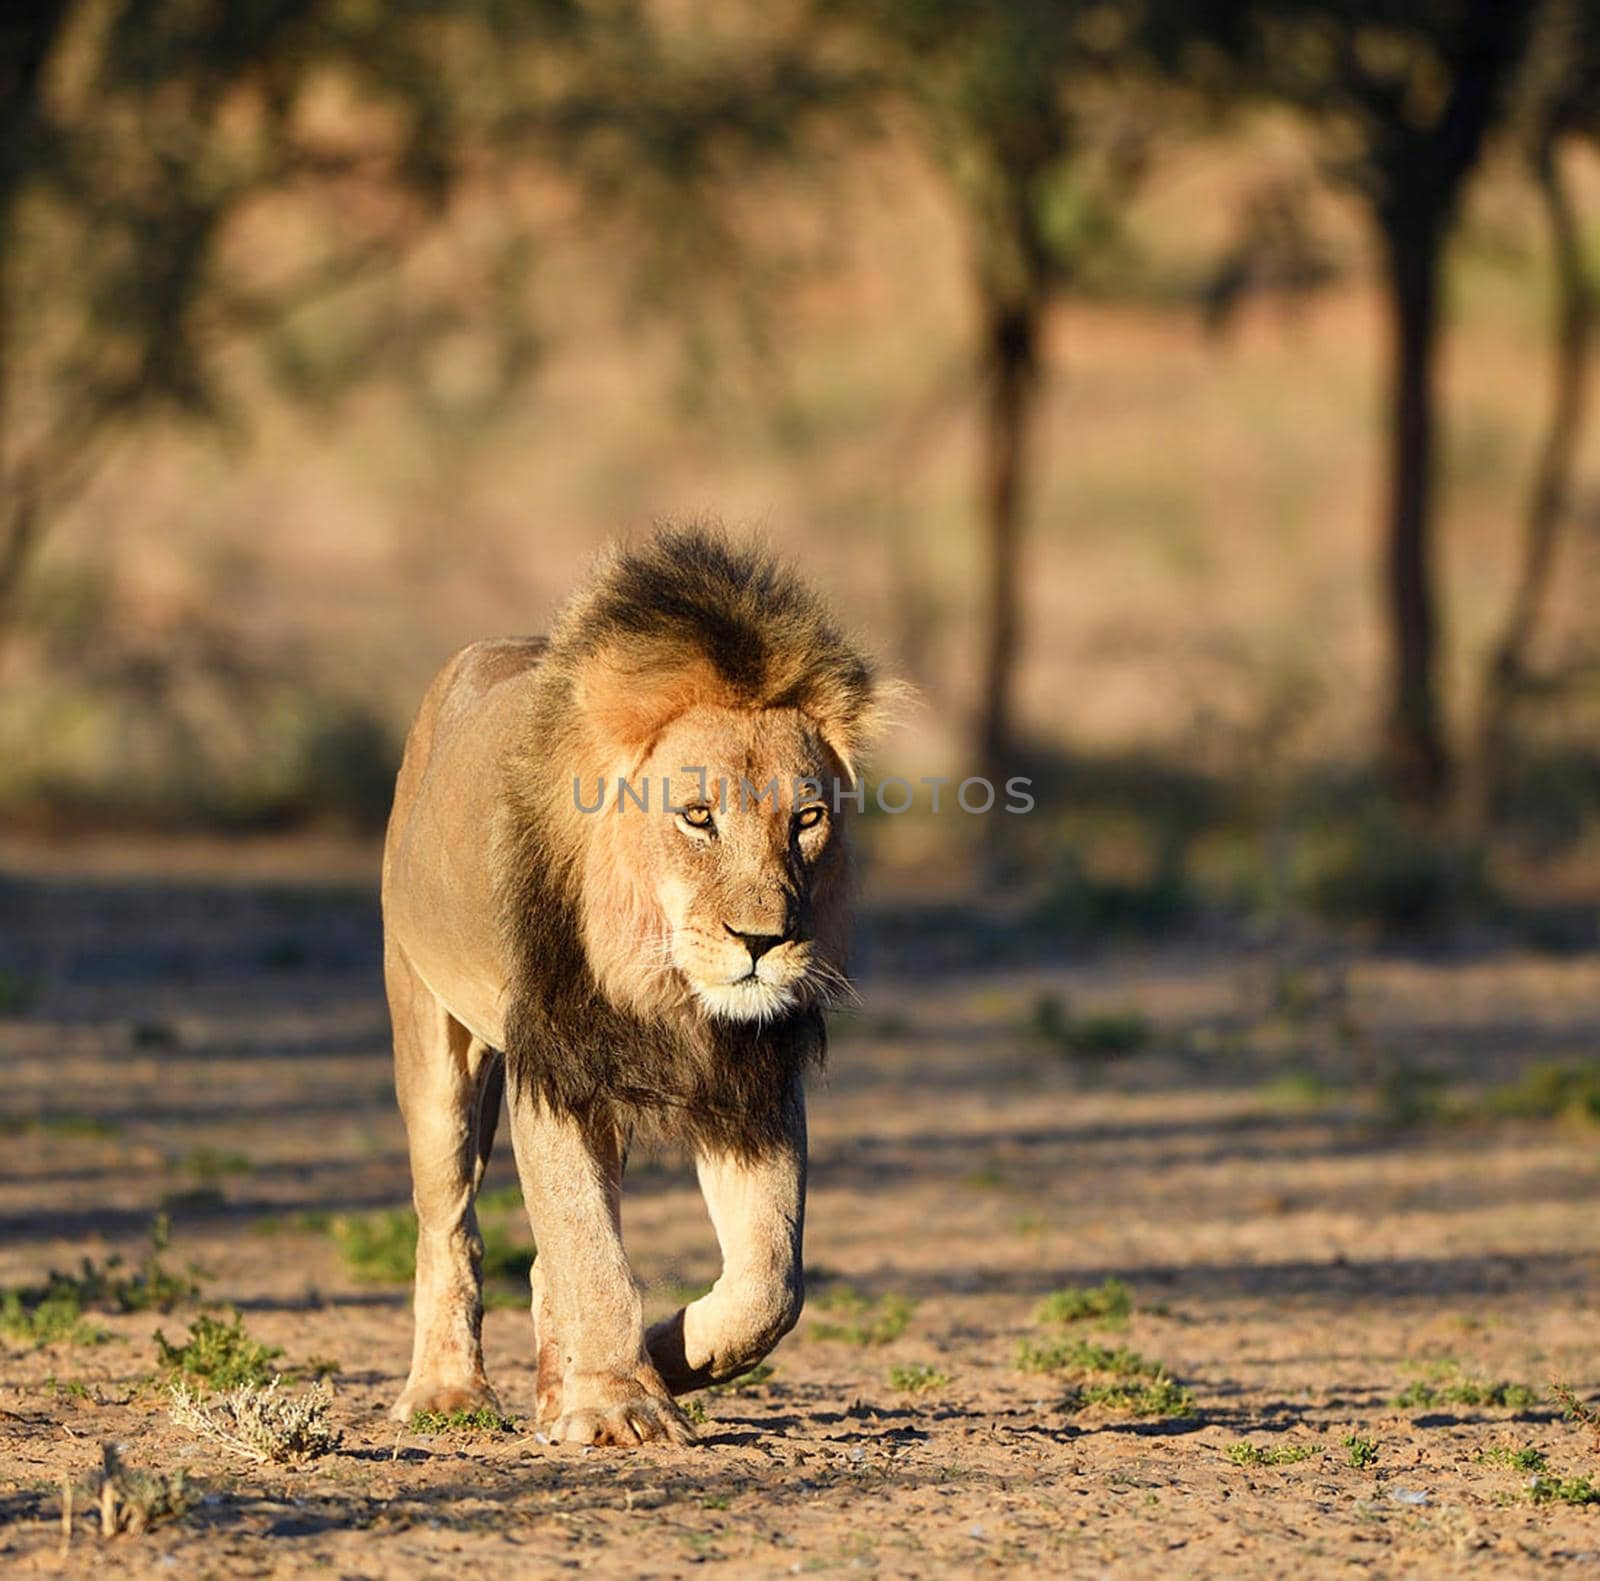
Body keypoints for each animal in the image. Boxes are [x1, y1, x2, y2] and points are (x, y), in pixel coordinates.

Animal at [382, 528, 896, 1446]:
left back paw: (561, 1387)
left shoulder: (753, 1084)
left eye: (807, 819)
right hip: (430, 1031)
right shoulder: (554, 1067)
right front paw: (623, 1403)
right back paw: (448, 1393)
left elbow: (771, 1282)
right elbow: (589, 1248)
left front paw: (661, 1354)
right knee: (448, 1224)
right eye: (697, 815)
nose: (762, 941)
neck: (668, 988)